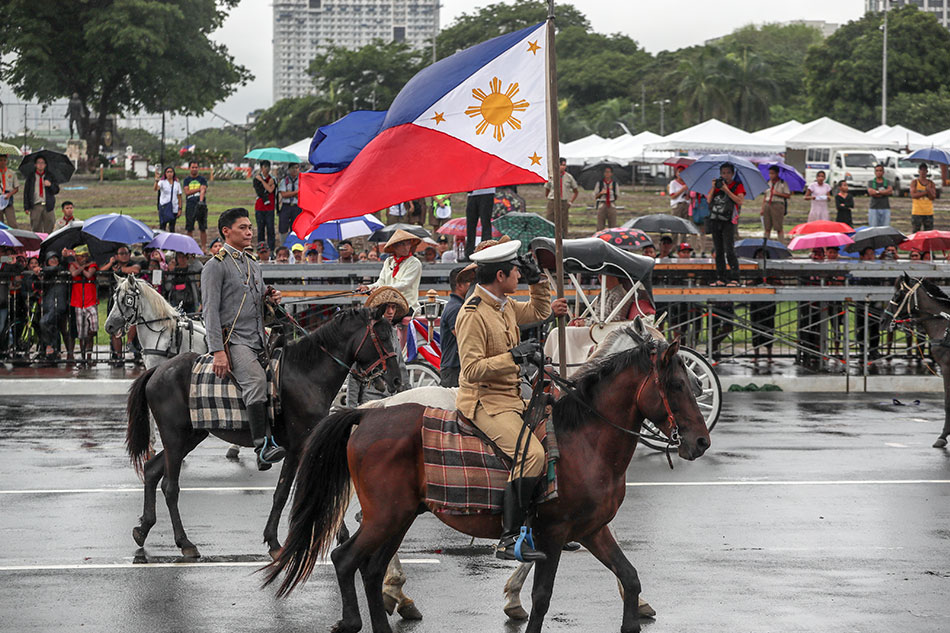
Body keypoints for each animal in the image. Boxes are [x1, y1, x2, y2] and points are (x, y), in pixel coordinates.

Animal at [123, 308, 402, 556]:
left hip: (189, 438)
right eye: (382, 337)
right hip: (175, 438)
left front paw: (340, 534)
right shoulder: (297, 446)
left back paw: (143, 529)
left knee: (151, 471)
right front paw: (274, 541)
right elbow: (282, 493)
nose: (397, 380)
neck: (307, 374)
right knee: (170, 487)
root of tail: (158, 370)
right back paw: (185, 542)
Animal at [264, 326, 712, 632]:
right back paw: (361, 616)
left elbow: (629, 578)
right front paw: (517, 602)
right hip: (386, 515)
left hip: (401, 515)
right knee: (346, 559)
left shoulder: (591, 529)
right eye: (676, 384)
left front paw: (636, 610)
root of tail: (369, 412)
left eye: (690, 381)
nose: (701, 441)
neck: (585, 438)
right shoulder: (552, 531)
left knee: (370, 570)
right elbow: (542, 596)